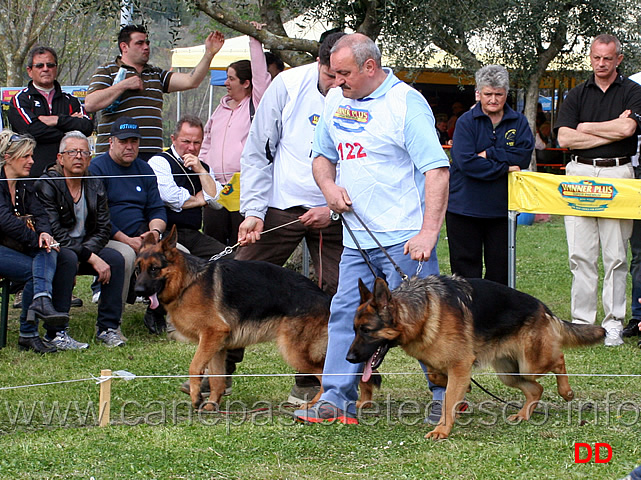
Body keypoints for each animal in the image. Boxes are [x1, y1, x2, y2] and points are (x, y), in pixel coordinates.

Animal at [134, 227, 376, 410]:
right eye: (137, 270)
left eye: (154, 269)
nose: (138, 291)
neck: (187, 281)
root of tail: (326, 298)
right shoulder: (216, 344)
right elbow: (216, 378)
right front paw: (212, 404)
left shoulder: (211, 335)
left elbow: (194, 367)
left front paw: (196, 398)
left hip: (293, 351)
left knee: (325, 376)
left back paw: (314, 405)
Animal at [348, 276, 604, 440]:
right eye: (354, 329)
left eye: (366, 330)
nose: (349, 358)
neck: (422, 312)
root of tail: (544, 309)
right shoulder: (446, 363)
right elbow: (437, 376)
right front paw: (459, 386)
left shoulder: (460, 364)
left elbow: (449, 398)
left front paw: (442, 431)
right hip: (509, 373)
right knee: (536, 389)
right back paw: (523, 415)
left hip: (531, 363)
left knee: (559, 359)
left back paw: (566, 392)